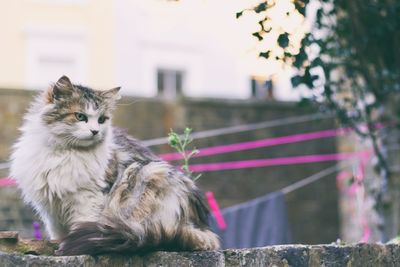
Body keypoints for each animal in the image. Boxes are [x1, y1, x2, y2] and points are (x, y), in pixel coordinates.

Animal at [9, 75, 219, 255]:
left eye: (102, 120)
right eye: (80, 116)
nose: (95, 131)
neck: (65, 152)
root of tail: (200, 225)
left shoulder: (88, 199)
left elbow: (79, 225)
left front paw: (68, 246)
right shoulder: (51, 209)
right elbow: (57, 233)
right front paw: (58, 244)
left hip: (147, 175)